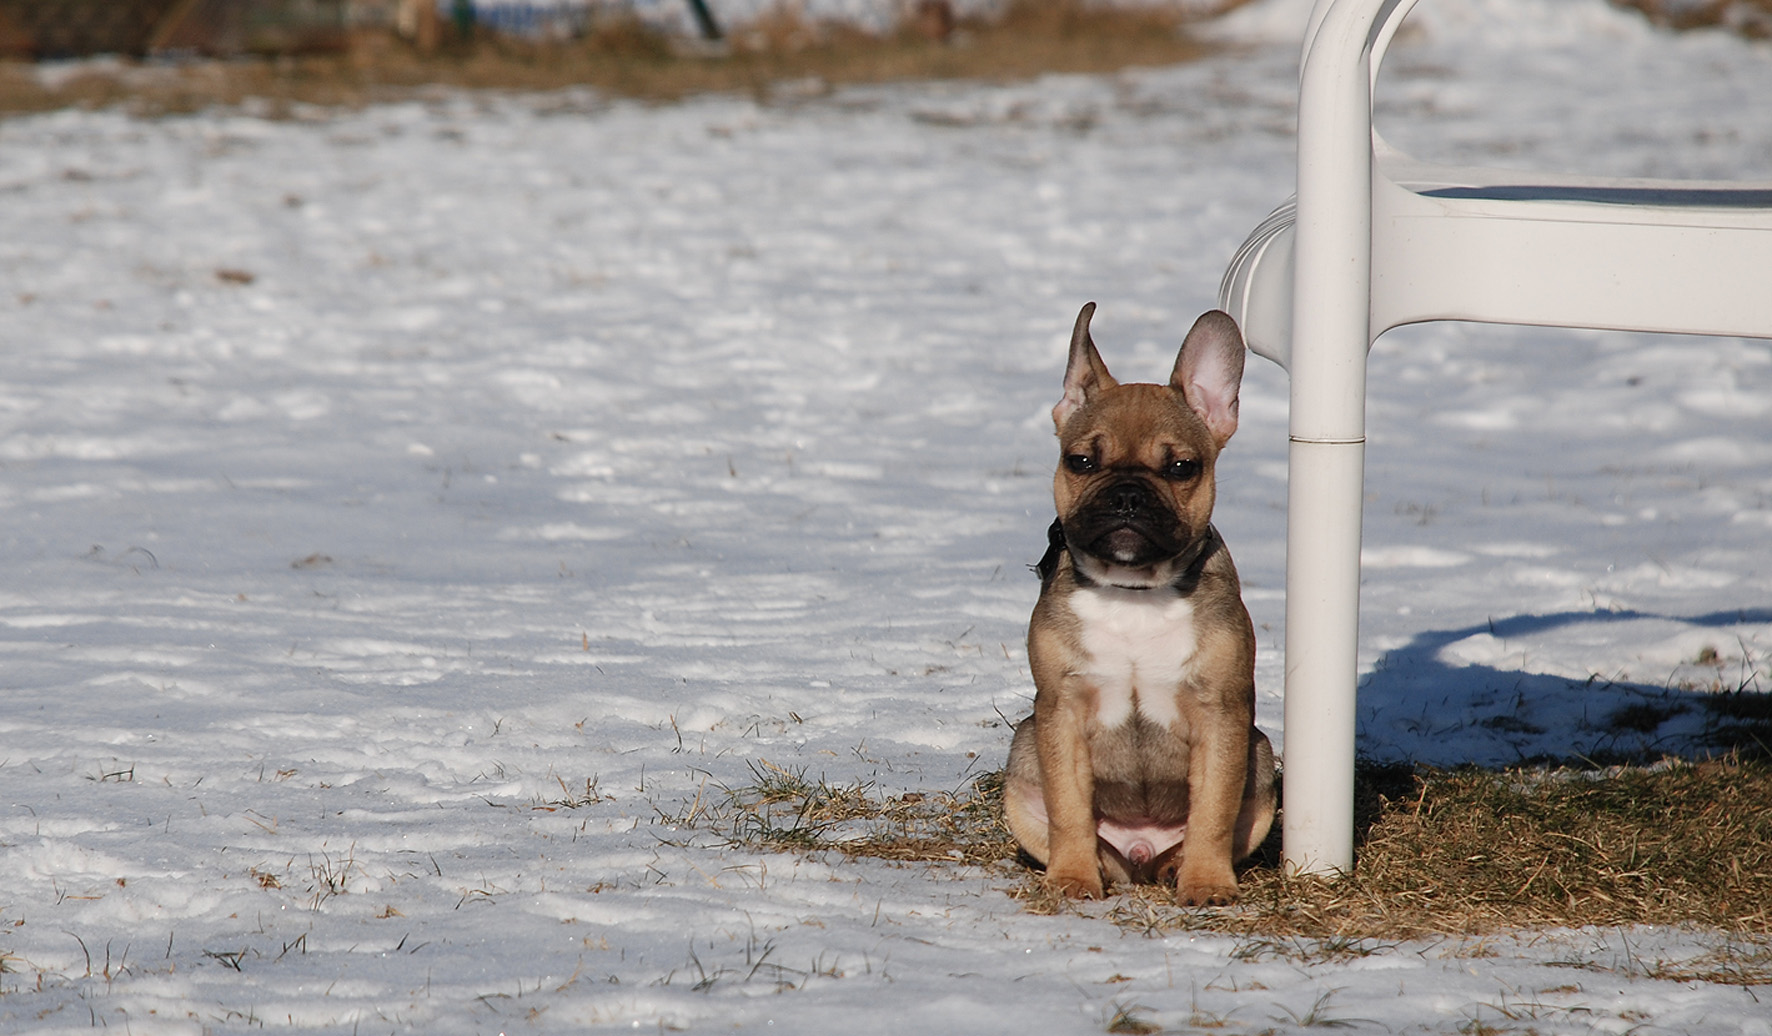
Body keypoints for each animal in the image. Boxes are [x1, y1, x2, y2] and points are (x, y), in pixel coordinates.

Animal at [1013, 302, 1275, 899]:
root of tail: (1140, 852)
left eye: (1181, 467)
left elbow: (1213, 809)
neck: (1132, 591)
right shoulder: (1059, 712)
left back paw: (1179, 867)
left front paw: (1207, 882)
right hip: (1021, 756)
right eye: (1081, 462)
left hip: (1262, 758)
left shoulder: (1222, 714)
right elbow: (1067, 805)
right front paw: (1071, 877)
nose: (1128, 493)